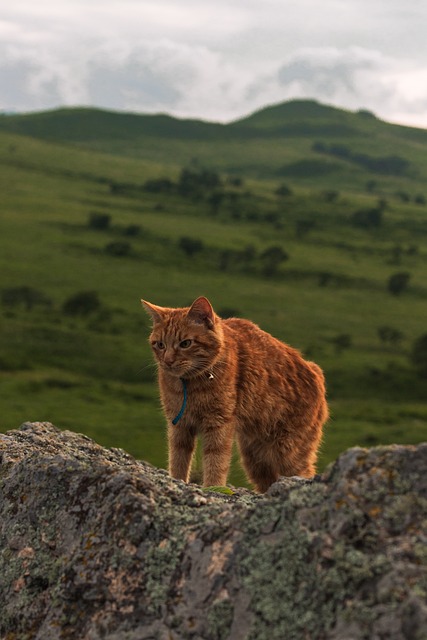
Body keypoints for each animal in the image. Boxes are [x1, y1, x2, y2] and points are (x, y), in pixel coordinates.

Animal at [142, 298, 330, 492]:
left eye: (186, 343)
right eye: (160, 345)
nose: (168, 361)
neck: (189, 384)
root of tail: (315, 371)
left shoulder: (218, 423)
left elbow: (215, 461)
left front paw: (212, 487)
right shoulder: (179, 424)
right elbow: (178, 459)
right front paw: (176, 481)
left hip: (288, 453)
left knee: (304, 473)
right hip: (256, 459)